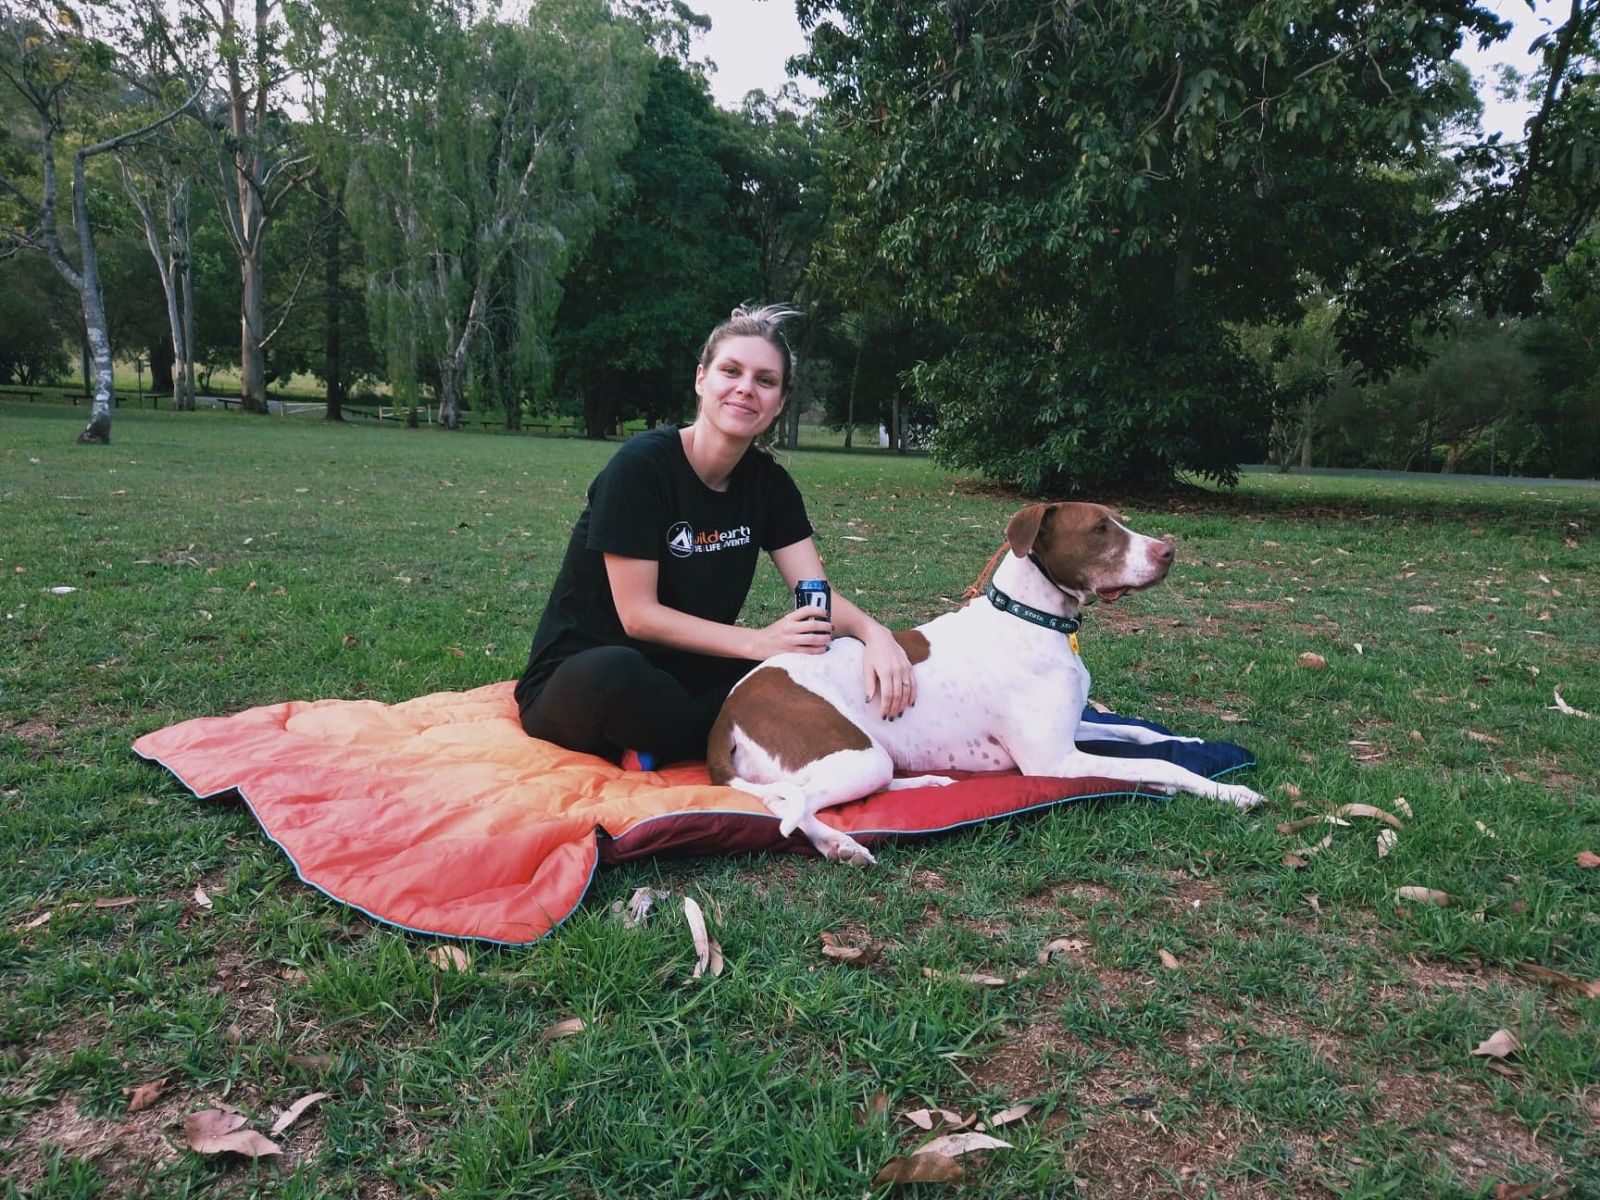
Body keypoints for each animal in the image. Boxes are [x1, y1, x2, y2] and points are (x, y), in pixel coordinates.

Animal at [710, 502, 1260, 870]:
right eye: (1100, 529)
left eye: (1118, 520)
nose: (1170, 552)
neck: (1033, 618)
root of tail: (729, 710)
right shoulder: (1056, 762)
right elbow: (1158, 763)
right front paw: (1230, 791)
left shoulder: (1073, 730)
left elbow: (1141, 735)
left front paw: (1187, 741)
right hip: (852, 753)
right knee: (786, 804)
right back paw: (839, 844)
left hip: (870, 758)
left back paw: (925, 784)